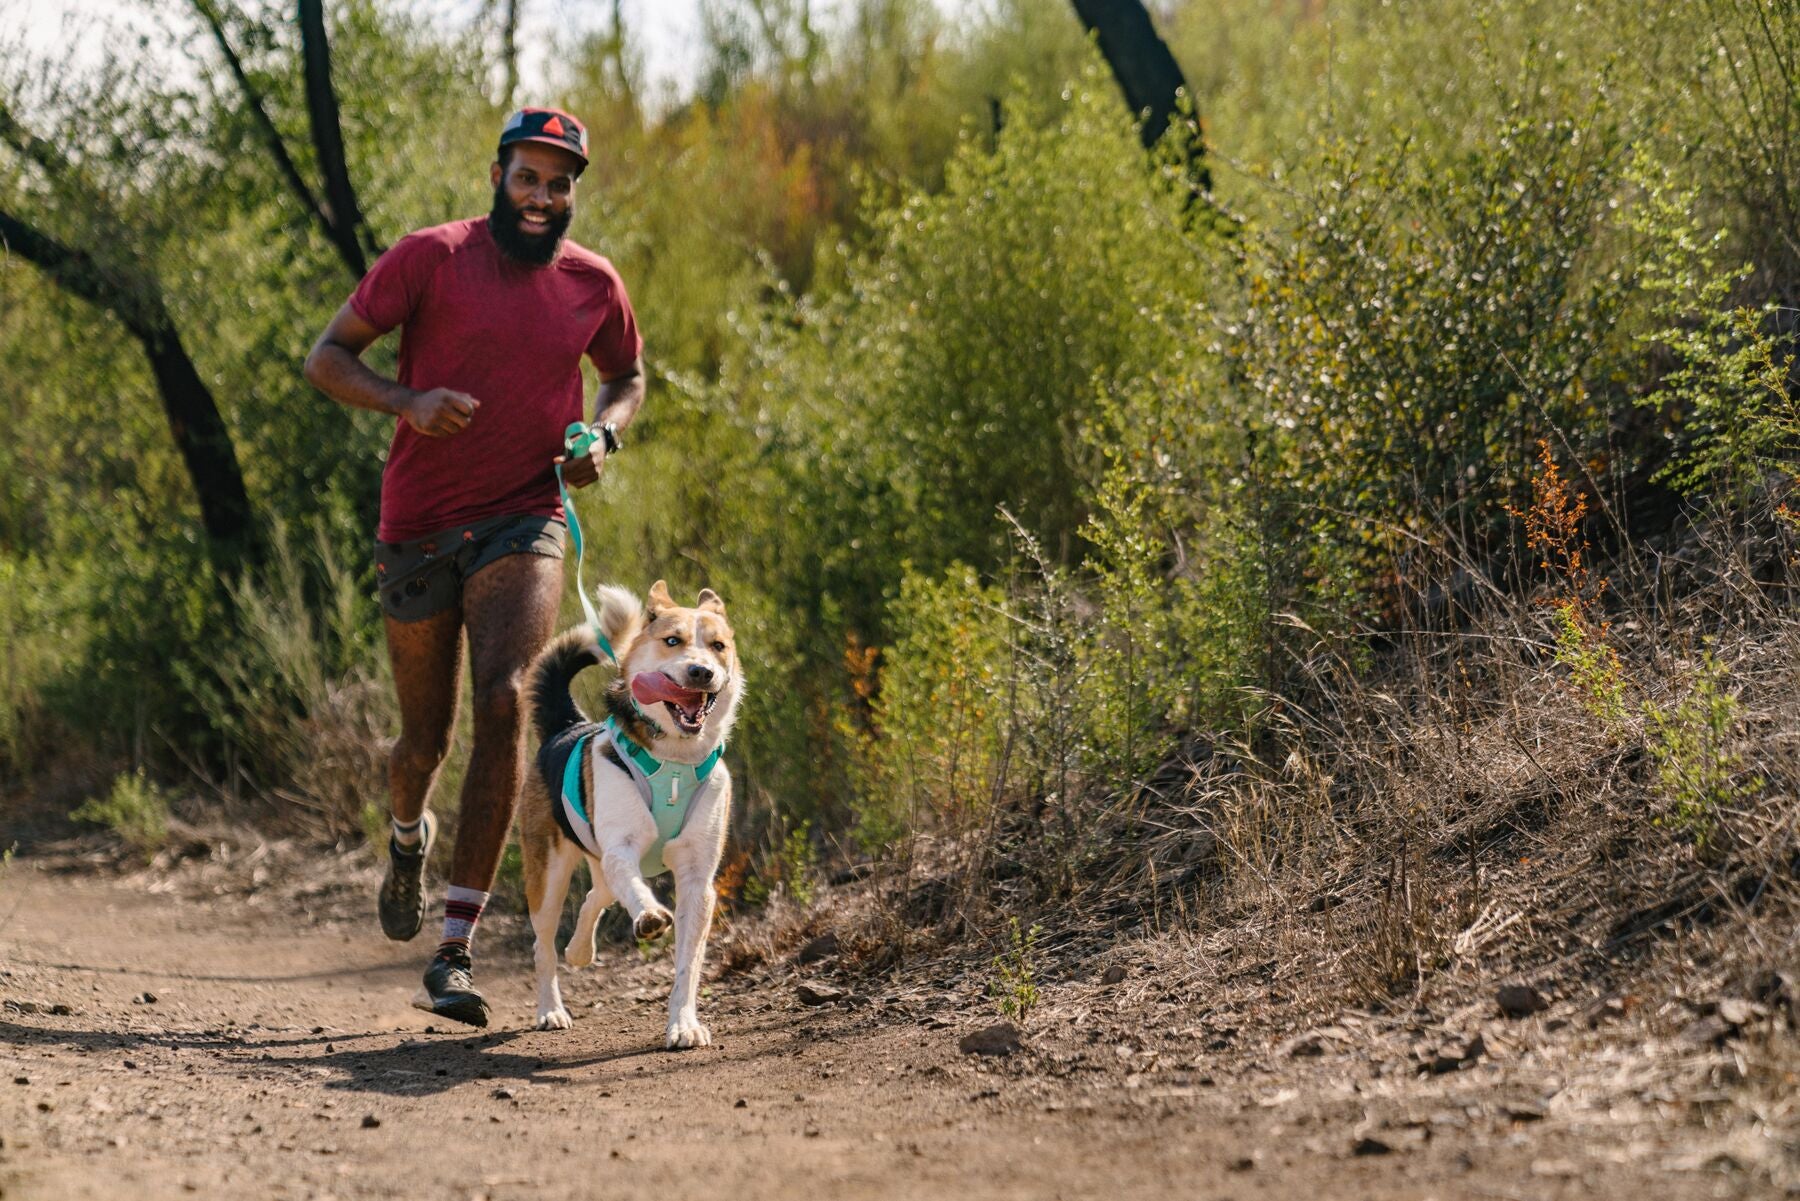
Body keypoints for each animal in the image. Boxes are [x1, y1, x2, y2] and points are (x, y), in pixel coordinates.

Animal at [518, 576, 741, 1044]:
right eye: (672, 641)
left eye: (718, 646)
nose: (702, 672)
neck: (674, 760)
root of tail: (567, 726)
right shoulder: (622, 849)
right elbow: (638, 890)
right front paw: (651, 916)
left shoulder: (697, 878)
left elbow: (688, 964)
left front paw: (684, 1024)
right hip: (548, 874)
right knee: (544, 944)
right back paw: (551, 1009)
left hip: (596, 860)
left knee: (595, 896)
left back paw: (579, 950)